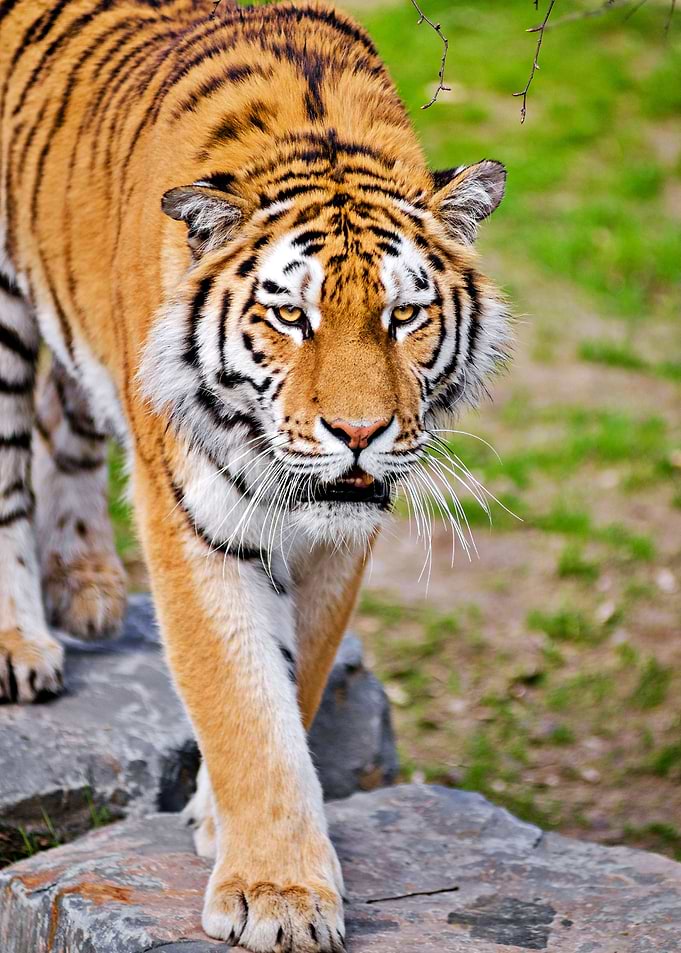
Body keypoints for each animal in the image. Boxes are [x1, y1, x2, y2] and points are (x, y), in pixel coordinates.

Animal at [0, 0, 509, 949]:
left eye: (404, 315)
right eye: (290, 315)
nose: (359, 432)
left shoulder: (338, 539)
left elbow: (293, 681)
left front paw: (220, 819)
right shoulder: (190, 513)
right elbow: (241, 698)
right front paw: (280, 895)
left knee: (64, 414)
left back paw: (85, 582)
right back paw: (22, 644)